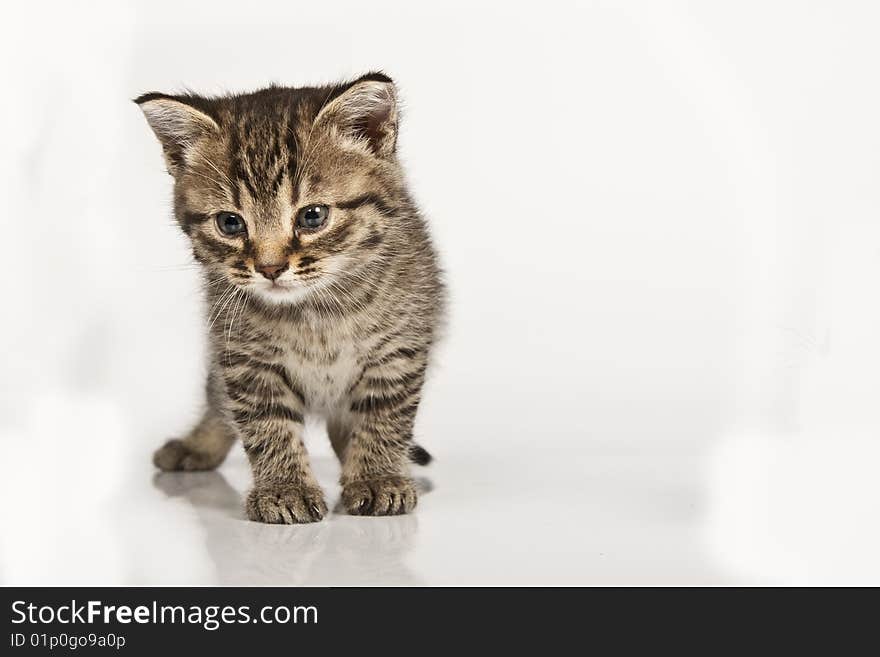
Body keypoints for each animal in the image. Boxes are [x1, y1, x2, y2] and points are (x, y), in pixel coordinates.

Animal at [138, 73, 446, 524]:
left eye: (312, 216)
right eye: (230, 223)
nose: (269, 268)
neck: (316, 311)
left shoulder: (399, 349)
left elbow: (383, 417)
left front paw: (377, 477)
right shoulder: (243, 357)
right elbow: (266, 424)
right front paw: (285, 488)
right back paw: (197, 444)